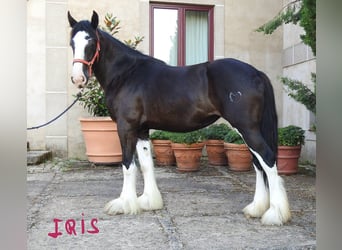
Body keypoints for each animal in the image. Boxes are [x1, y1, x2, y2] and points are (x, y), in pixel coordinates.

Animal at [68, 10, 290, 226]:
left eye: (90, 41)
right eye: (72, 43)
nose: (78, 79)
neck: (126, 74)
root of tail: (256, 73)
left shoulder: (126, 127)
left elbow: (128, 165)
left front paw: (124, 204)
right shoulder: (141, 130)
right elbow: (146, 164)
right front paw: (148, 201)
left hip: (247, 128)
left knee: (267, 159)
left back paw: (275, 214)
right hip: (249, 129)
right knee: (258, 163)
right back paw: (256, 209)